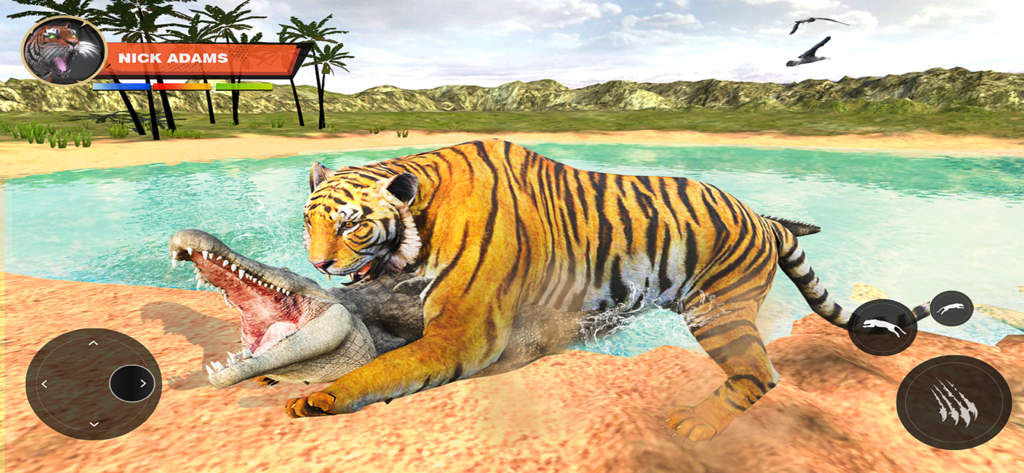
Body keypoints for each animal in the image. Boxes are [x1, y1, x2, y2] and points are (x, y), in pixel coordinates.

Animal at [290, 139, 932, 443]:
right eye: (308, 220)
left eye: (351, 224)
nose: (318, 261)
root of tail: (763, 218)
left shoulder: (464, 334)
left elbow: (390, 367)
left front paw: (323, 397)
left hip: (718, 312)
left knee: (759, 373)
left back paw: (697, 426)